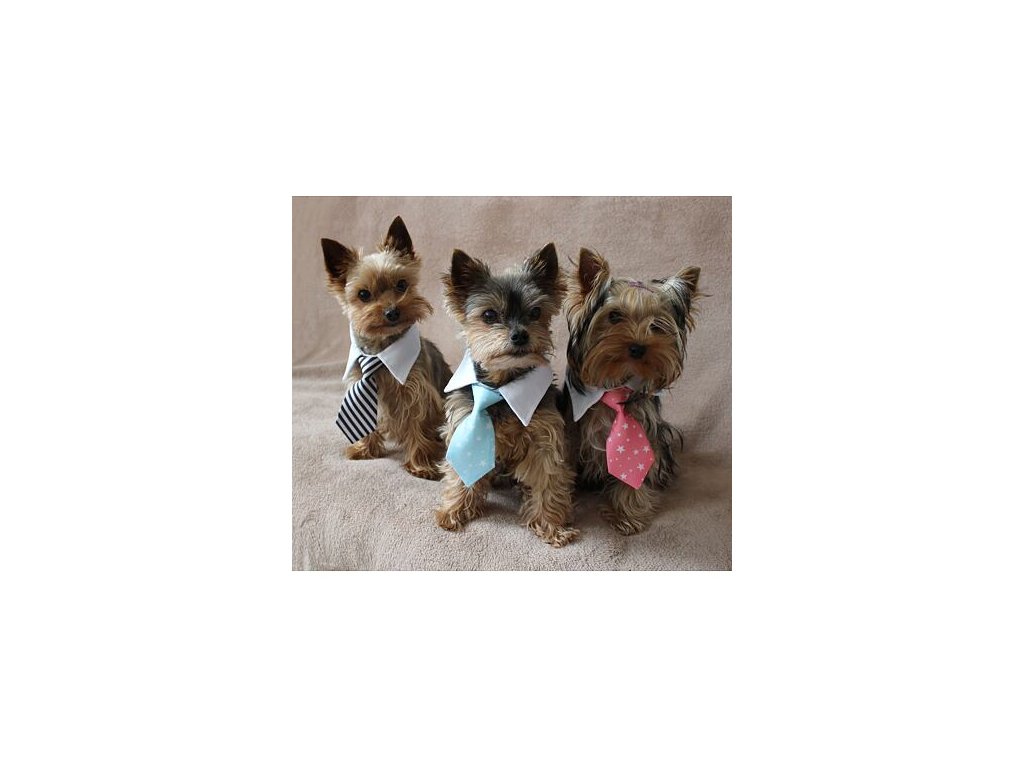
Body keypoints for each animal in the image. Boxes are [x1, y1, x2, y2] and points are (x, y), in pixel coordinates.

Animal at [321, 216, 451, 480]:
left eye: (401, 284)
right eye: (363, 294)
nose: (392, 312)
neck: (381, 350)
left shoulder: (417, 392)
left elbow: (417, 424)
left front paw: (420, 465)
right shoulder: (361, 384)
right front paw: (364, 449)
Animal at [434, 244, 578, 547]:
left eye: (535, 312)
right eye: (489, 315)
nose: (520, 335)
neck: (501, 386)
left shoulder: (544, 438)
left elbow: (548, 480)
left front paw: (551, 525)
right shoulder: (463, 423)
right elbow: (458, 473)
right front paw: (454, 510)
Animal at [562, 247, 701, 534]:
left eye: (657, 324)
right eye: (614, 316)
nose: (638, 347)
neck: (616, 382)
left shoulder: (645, 430)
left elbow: (633, 471)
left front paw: (627, 514)